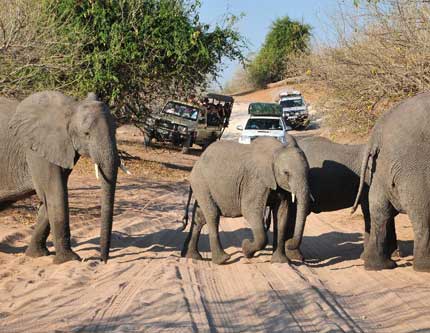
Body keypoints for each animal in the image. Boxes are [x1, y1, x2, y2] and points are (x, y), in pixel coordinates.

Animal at [0, 89, 119, 264]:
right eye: (86, 134)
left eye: (115, 132)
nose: (102, 261)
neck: (71, 108)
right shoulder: (36, 150)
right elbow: (56, 193)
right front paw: (69, 260)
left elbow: (48, 199)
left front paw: (37, 255)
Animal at [181, 135, 310, 264]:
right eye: (286, 173)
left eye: (308, 170)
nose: (290, 244)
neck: (277, 150)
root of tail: (198, 161)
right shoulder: (255, 181)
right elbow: (250, 211)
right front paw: (246, 248)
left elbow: (281, 216)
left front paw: (280, 261)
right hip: (201, 183)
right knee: (212, 215)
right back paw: (222, 259)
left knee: (200, 217)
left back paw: (192, 256)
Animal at [352, 91, 430, 270]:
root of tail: (377, 133)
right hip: (414, 168)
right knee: (422, 214)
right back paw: (424, 267)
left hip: (380, 168)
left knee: (379, 211)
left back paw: (378, 265)